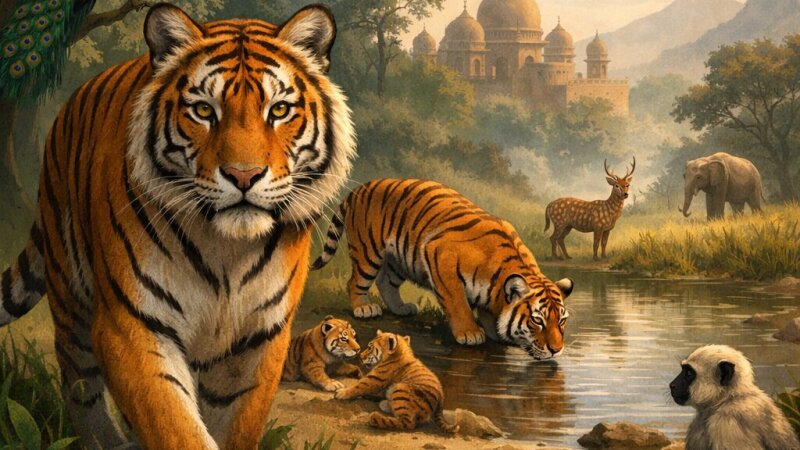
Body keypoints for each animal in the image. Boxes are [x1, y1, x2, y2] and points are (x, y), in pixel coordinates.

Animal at [0, 4, 355, 450]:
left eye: (278, 110)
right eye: (203, 111)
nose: (243, 175)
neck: (227, 250)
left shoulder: (259, 338)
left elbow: (234, 425)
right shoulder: (132, 325)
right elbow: (175, 426)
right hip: (69, 294)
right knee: (79, 387)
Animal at [312, 178, 574, 359]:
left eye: (562, 321)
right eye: (538, 321)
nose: (557, 350)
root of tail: (361, 187)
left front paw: (495, 331)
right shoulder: (440, 256)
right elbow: (458, 302)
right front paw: (471, 333)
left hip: (398, 260)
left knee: (385, 281)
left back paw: (401, 308)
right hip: (368, 250)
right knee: (356, 281)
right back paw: (364, 308)